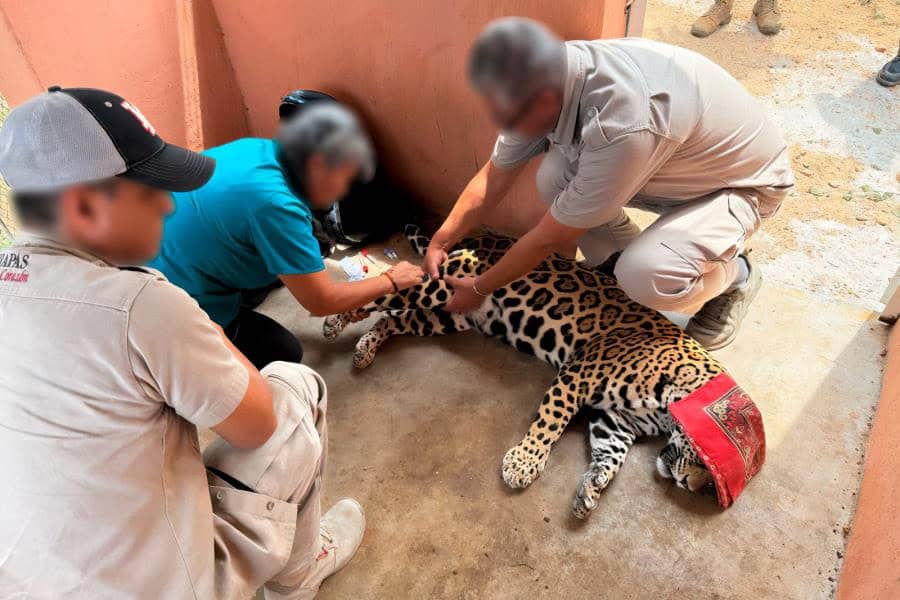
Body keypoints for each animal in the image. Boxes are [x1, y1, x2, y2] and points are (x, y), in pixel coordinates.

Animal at [323, 225, 725, 518]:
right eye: (703, 460)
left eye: (709, 485)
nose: (689, 485)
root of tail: (479, 237)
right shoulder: (579, 373)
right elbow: (551, 420)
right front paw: (523, 463)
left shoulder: (616, 419)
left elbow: (610, 453)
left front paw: (592, 486)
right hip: (441, 288)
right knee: (382, 292)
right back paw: (334, 319)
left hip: (448, 315)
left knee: (392, 318)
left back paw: (365, 347)